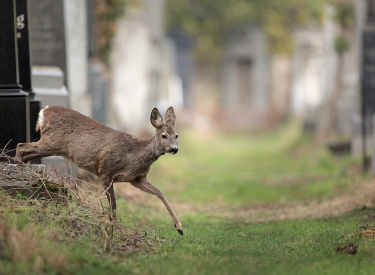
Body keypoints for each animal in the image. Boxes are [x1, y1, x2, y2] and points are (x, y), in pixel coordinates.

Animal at [16, 106, 184, 236]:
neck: (133, 155)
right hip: (51, 142)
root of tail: (44, 112)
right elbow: (113, 203)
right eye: (164, 136)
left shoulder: (137, 179)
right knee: (21, 146)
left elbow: (160, 192)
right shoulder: (106, 171)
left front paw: (179, 227)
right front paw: (115, 230)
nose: (175, 149)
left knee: (24, 150)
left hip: (50, 144)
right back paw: (20, 172)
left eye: (176, 135)